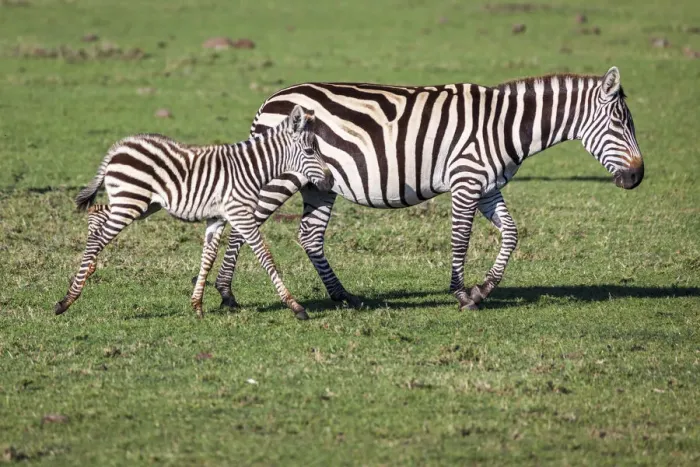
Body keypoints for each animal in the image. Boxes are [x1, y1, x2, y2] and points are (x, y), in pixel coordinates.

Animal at [54, 105, 332, 320]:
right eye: (310, 151)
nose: (329, 180)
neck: (250, 169)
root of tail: (119, 147)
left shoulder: (217, 217)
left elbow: (207, 258)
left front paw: (197, 306)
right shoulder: (240, 213)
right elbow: (265, 255)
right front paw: (295, 306)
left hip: (141, 204)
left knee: (97, 214)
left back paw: (87, 269)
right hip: (130, 202)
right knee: (99, 237)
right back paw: (67, 299)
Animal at [201, 66, 644, 312]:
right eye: (620, 123)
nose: (637, 177)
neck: (505, 126)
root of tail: (271, 99)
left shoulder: (488, 186)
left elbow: (512, 234)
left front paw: (484, 289)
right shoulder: (466, 180)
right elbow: (461, 238)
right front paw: (462, 293)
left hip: (318, 183)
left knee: (309, 235)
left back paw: (343, 296)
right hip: (281, 178)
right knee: (245, 225)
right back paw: (226, 294)